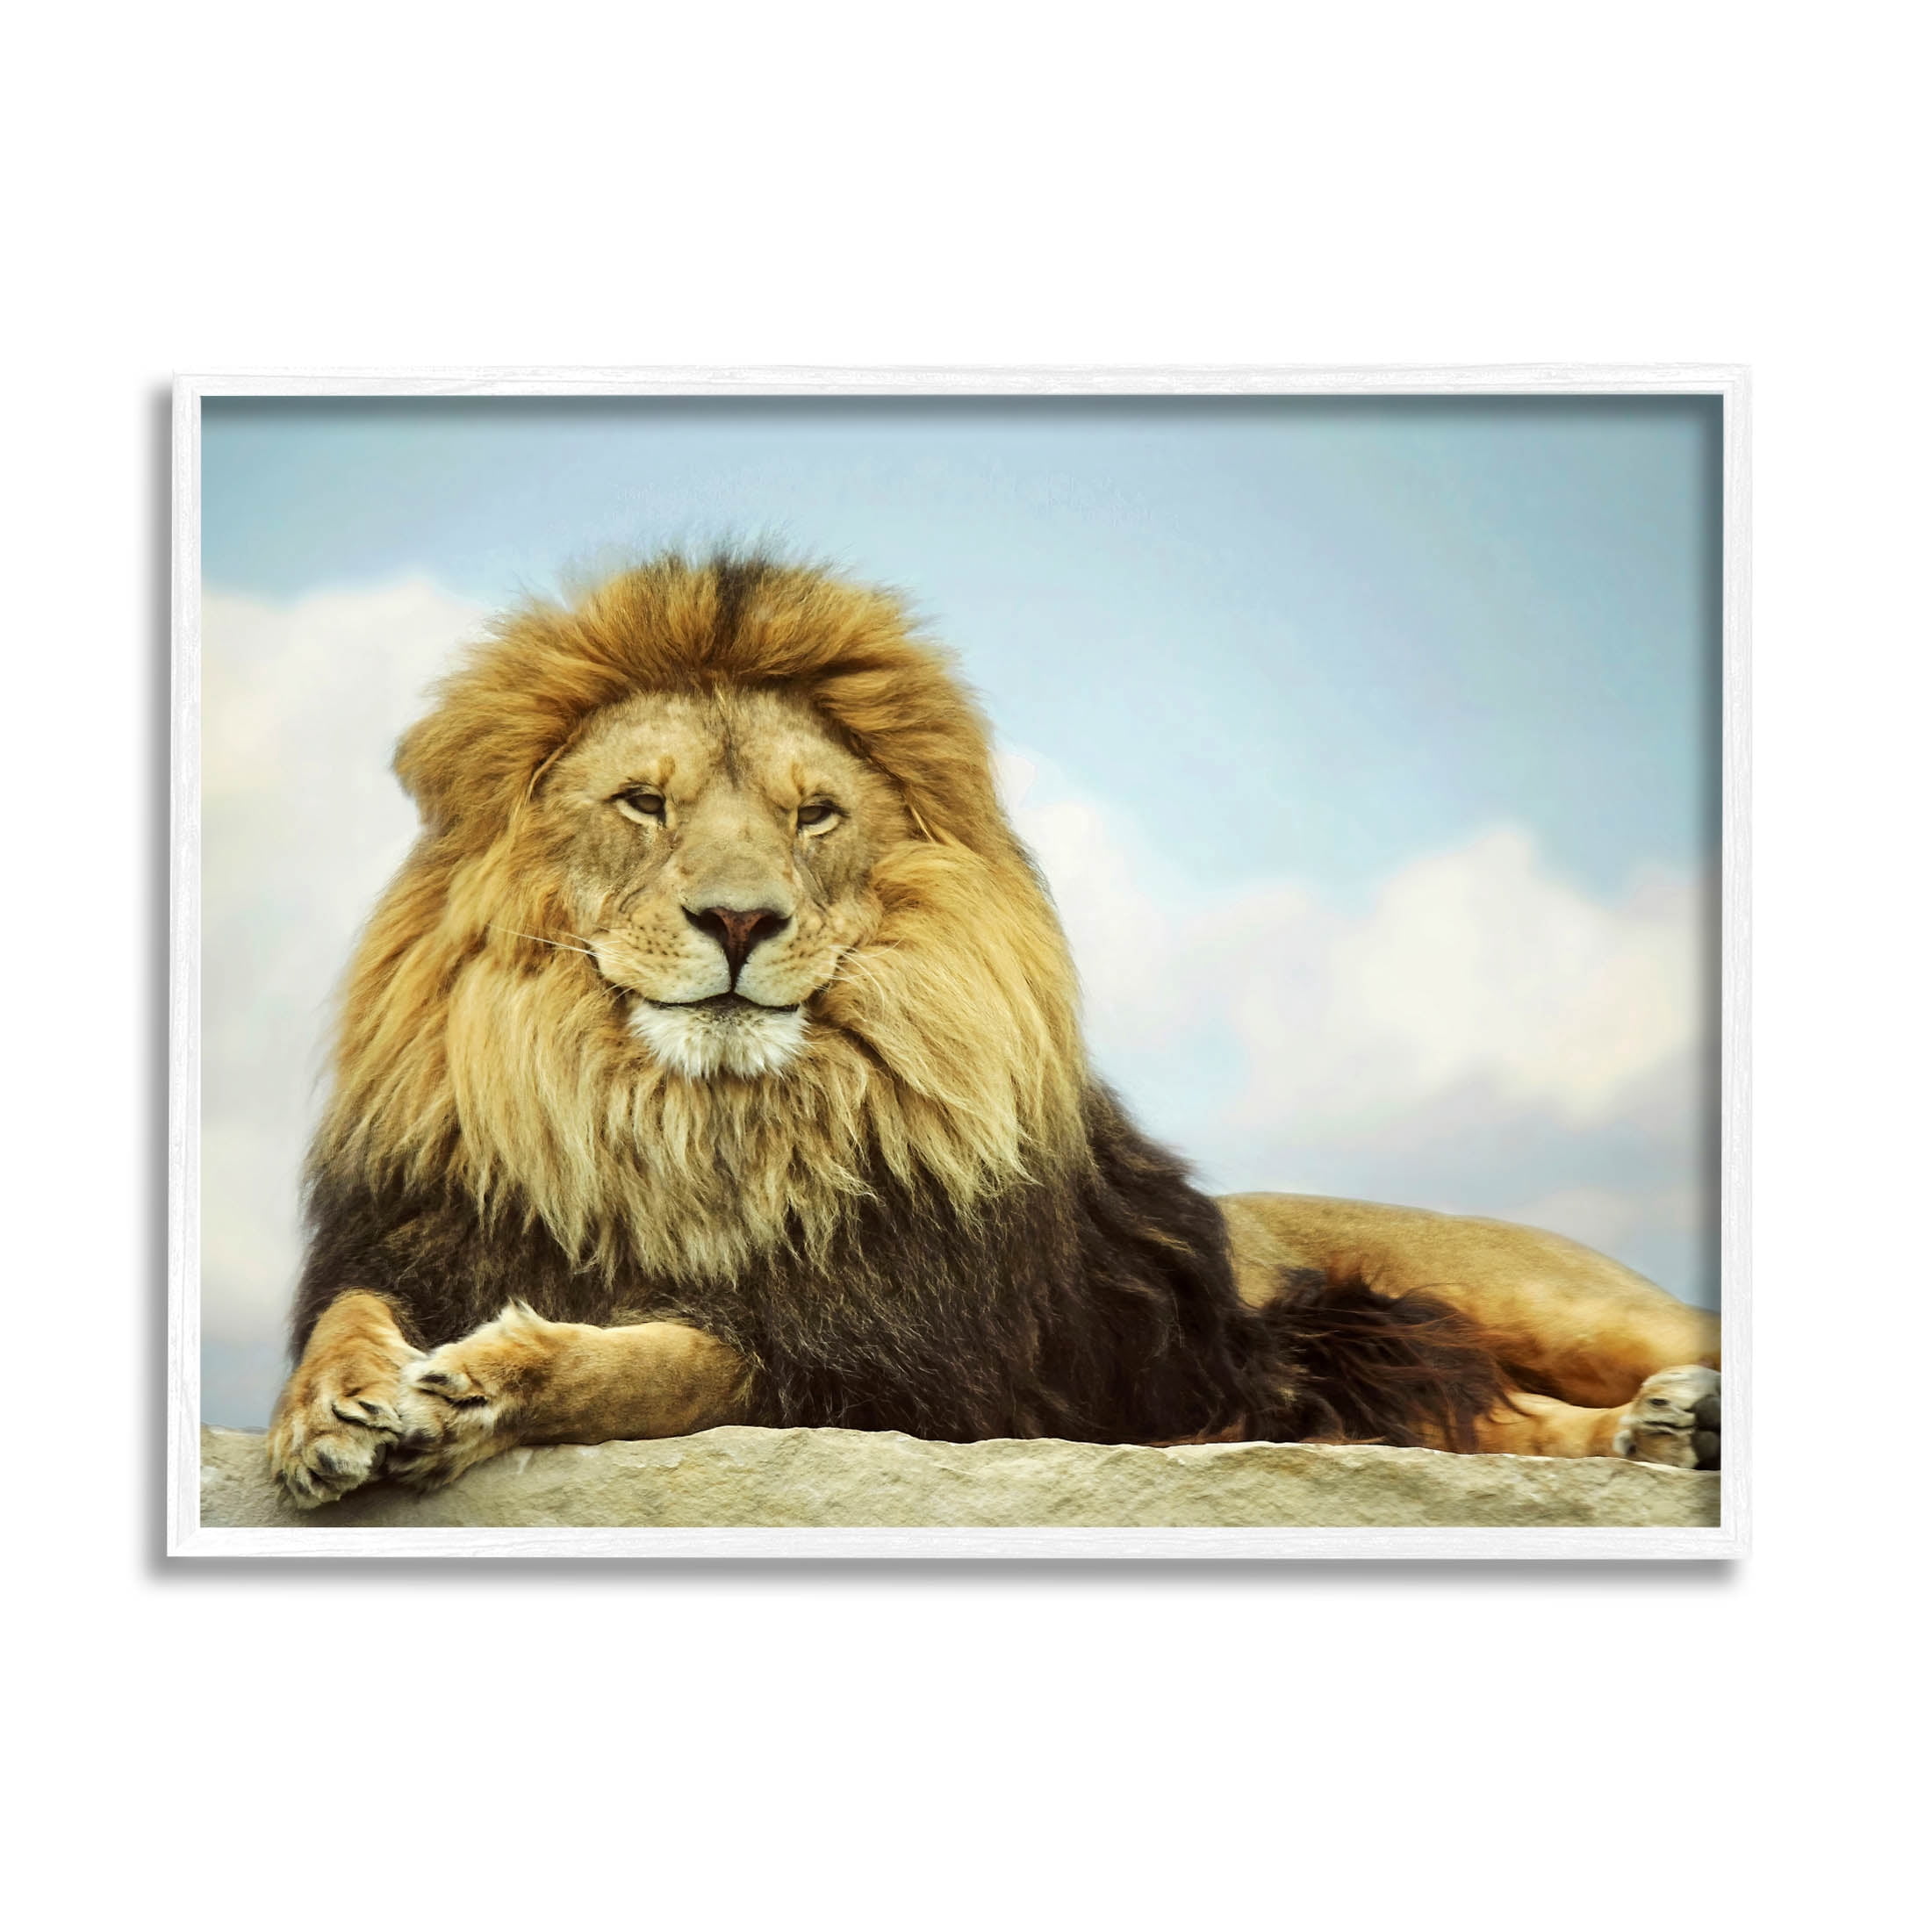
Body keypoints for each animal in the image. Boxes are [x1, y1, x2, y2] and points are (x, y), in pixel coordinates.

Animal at [267, 551, 1720, 1507]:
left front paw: (485, 1385)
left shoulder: (917, 1376)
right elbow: (350, 1308)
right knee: (1485, 1415)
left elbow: (677, 1362)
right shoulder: (426, 1236)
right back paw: (1658, 1438)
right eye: (642, 802)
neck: (688, 1126)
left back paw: (1675, 1417)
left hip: (1555, 1301)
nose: (738, 920)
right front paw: (336, 1412)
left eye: (813, 815)